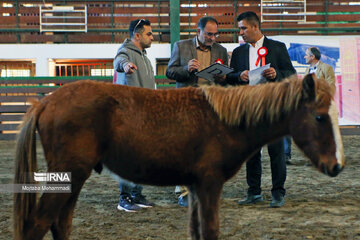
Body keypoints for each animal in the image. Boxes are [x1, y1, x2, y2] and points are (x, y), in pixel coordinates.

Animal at [14, 74, 346, 239]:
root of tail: (46, 102)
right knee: (38, 224)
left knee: (60, 224)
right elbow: (210, 231)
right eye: (319, 117)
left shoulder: (197, 187)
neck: (222, 120)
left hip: (73, 179)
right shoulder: (210, 184)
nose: (337, 166)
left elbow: (197, 230)